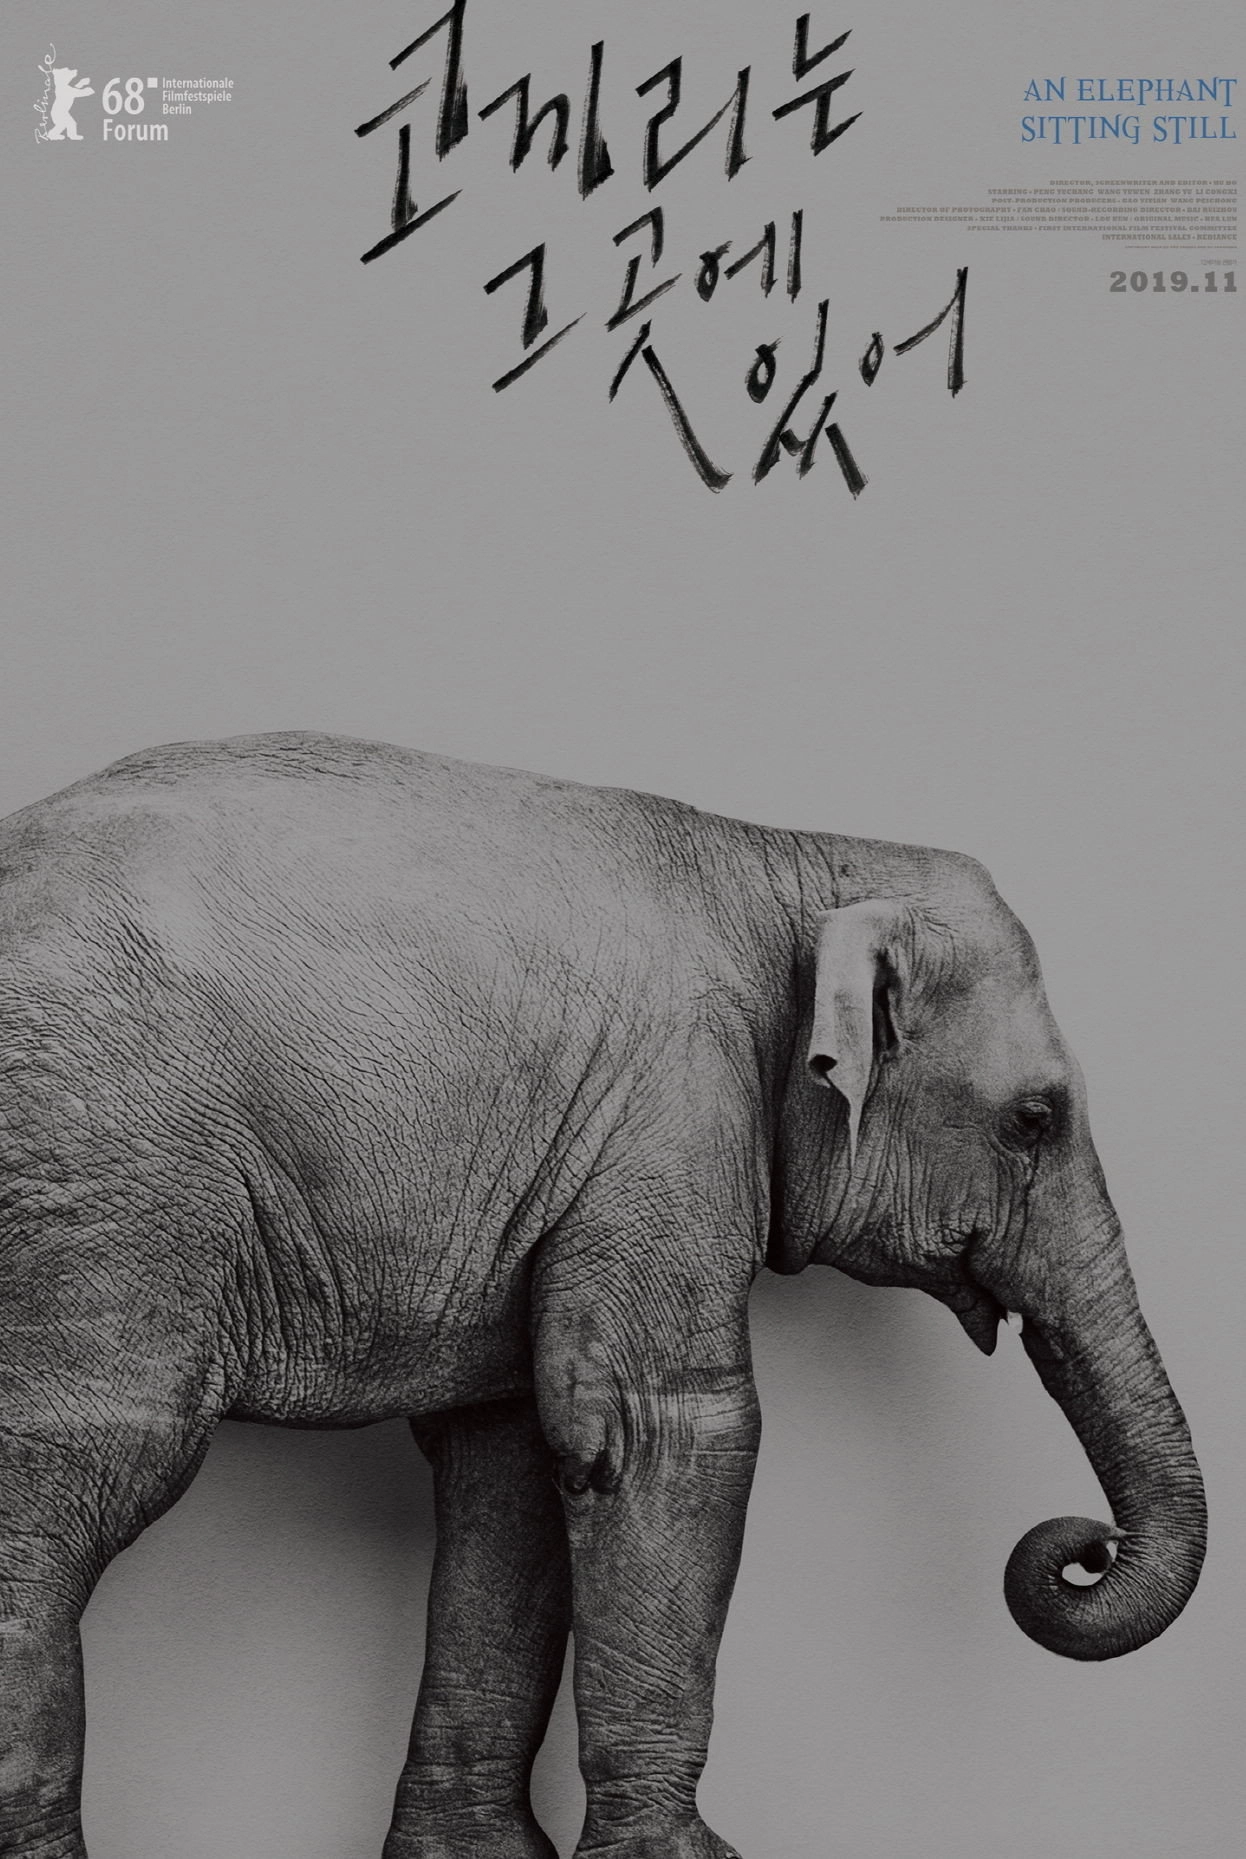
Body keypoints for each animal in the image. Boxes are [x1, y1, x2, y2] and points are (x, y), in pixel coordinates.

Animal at [0, 731, 1205, 1859]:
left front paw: (478, 1855)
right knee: (83, 1477)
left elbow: (515, 1457)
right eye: (1034, 1118)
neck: (779, 859)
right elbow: (662, 1428)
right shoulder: (672, 1110)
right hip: (113, 1178)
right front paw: (682, 1854)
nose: (1082, 1544)